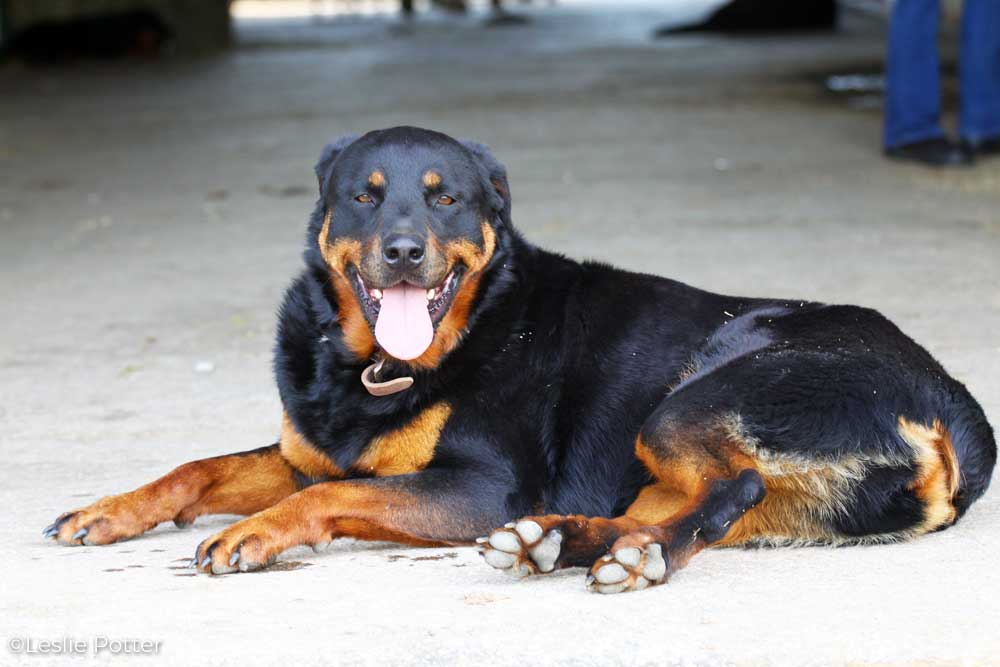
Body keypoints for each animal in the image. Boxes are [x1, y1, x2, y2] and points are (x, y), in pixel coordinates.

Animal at [47, 128, 1000, 592]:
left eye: (447, 200)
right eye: (364, 196)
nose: (402, 252)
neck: (380, 366)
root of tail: (952, 398)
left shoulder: (482, 487)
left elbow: (323, 496)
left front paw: (253, 533)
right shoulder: (307, 450)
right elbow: (202, 466)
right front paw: (109, 510)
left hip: (697, 395)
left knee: (730, 486)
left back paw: (620, 559)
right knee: (690, 507)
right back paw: (561, 543)